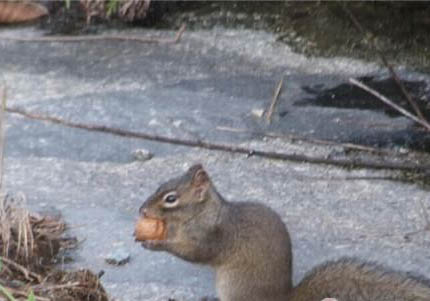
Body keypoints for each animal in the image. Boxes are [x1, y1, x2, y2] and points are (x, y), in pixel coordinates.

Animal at [138, 164, 430, 300]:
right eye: (160, 184)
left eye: (171, 199)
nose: (142, 209)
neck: (204, 212)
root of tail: (284, 298)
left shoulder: (212, 237)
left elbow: (194, 253)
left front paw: (156, 244)